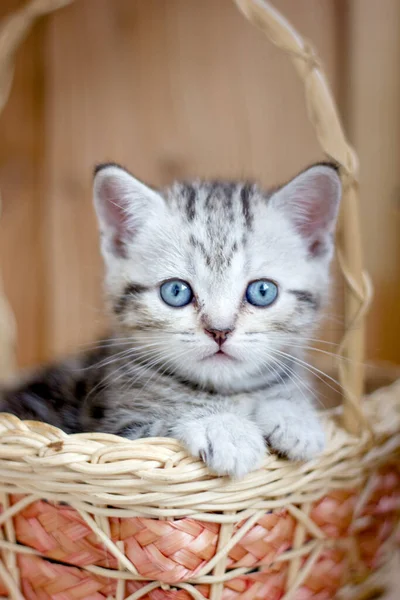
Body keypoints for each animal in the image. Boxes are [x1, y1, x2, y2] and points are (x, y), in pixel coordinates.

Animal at [1, 161, 342, 478]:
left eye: (262, 291)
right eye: (176, 291)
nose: (220, 331)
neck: (227, 392)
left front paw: (295, 416)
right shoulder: (115, 431)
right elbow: (164, 420)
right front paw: (224, 427)